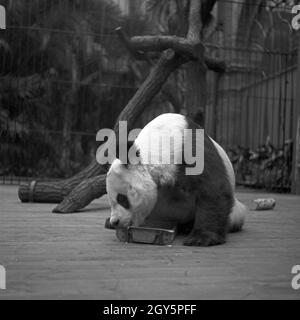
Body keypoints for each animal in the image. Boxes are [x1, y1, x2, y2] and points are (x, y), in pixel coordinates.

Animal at [105, 114, 246, 246]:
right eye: (111, 201)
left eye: (121, 199)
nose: (115, 221)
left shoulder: (190, 149)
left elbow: (212, 190)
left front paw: (200, 238)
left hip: (235, 211)